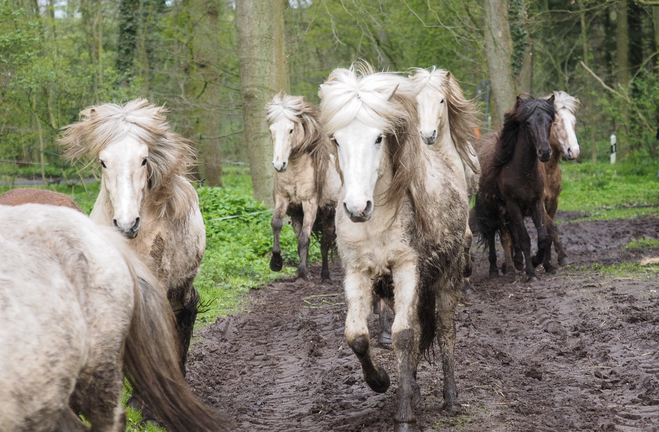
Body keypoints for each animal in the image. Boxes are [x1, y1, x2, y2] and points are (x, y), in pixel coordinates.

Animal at [266, 93, 342, 282]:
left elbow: (305, 239)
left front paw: (301, 273)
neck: (295, 170)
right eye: (271, 130)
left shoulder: (310, 204)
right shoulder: (283, 199)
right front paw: (276, 262)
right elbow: (276, 224)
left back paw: (325, 275)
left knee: (324, 244)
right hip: (297, 216)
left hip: (329, 217)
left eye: (291, 130)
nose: (279, 165)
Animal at [320, 65, 470, 432]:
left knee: (444, 331)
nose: (357, 207)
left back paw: (450, 399)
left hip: (447, 278)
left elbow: (402, 335)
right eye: (337, 139)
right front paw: (381, 382)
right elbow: (357, 335)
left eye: (378, 138)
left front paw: (403, 416)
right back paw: (413, 388)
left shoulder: (407, 268)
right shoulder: (358, 271)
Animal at [474, 96, 556, 282]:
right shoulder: (512, 203)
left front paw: (535, 260)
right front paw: (531, 273)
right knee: (491, 233)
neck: (523, 171)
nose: (544, 152)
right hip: (490, 207)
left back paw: (515, 263)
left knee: (510, 233)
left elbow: (542, 237)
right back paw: (494, 269)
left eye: (549, 121)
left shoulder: (536, 202)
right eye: (528, 123)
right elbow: (524, 238)